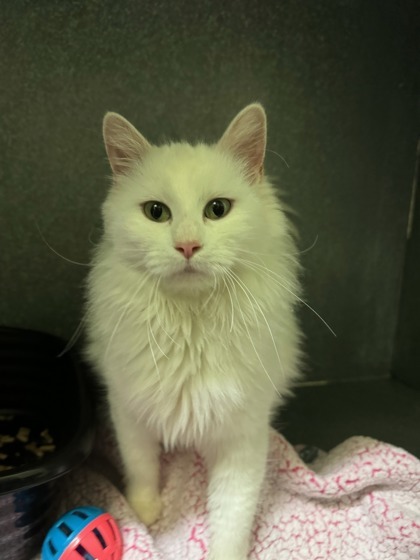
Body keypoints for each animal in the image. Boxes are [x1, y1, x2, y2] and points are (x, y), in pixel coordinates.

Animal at [85, 103, 302, 556]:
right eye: (156, 212)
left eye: (217, 209)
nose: (187, 246)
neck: (191, 324)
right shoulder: (128, 410)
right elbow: (141, 466)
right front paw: (146, 512)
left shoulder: (243, 439)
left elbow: (233, 515)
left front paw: (225, 553)